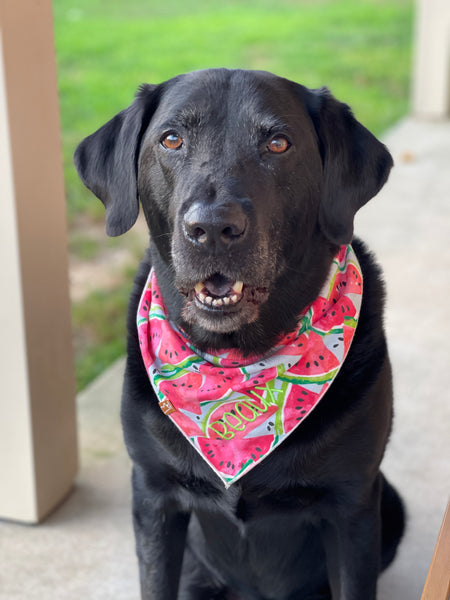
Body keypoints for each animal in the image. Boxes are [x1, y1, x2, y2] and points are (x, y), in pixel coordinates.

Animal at [74, 69, 404, 600]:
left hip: (388, 502)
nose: (211, 228)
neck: (236, 361)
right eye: (172, 139)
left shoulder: (352, 507)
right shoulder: (153, 496)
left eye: (278, 143)